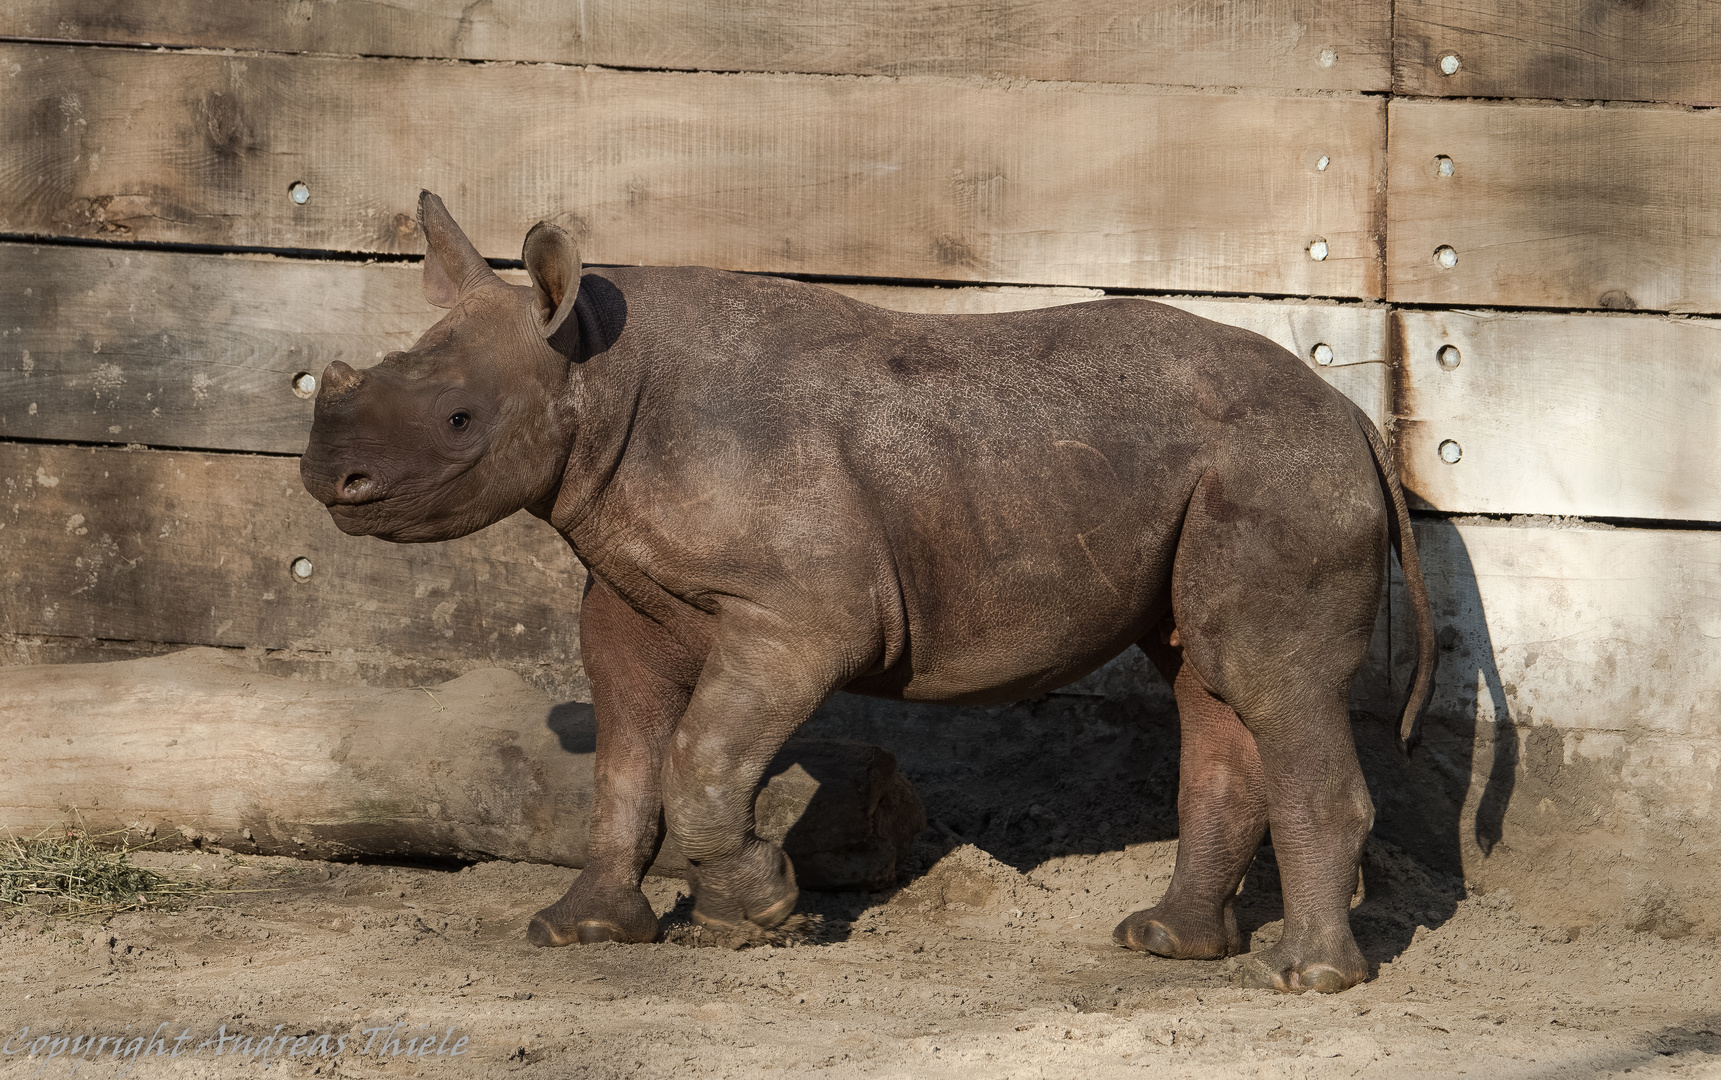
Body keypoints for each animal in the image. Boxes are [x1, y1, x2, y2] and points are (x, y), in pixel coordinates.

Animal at [302, 194, 1431, 997]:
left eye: (458, 421)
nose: (328, 479)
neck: (594, 377)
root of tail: (1355, 421)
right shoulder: (625, 595)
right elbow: (625, 760)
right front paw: (582, 929)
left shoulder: (799, 614)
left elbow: (697, 760)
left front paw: (762, 913)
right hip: (1221, 469)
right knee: (1208, 679)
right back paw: (1164, 944)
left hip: (1279, 469)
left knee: (1264, 679)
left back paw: (1299, 980)